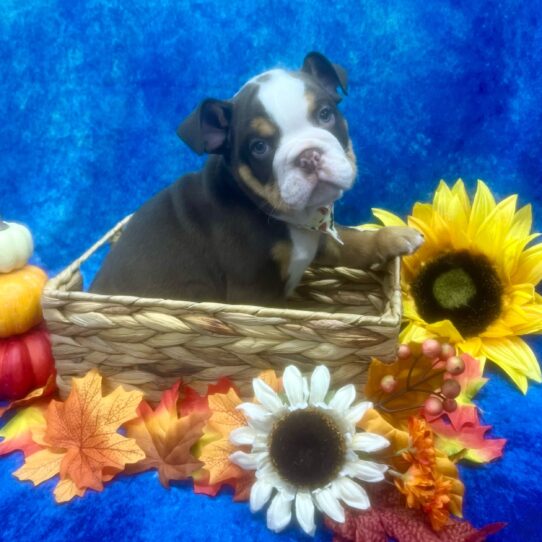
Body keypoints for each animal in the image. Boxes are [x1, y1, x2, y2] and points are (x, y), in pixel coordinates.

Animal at [91, 53, 424, 306]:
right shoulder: (251, 291)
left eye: (326, 114)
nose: (308, 156)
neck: (290, 219)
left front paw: (394, 236)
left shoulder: (322, 240)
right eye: (259, 147)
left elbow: (353, 241)